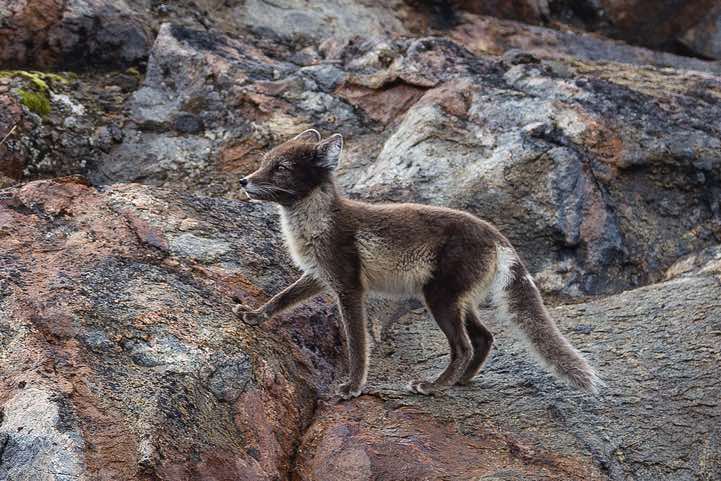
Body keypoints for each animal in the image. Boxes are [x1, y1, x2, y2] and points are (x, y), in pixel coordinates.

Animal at [234, 129, 604, 399]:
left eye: (282, 168)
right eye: (265, 161)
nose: (243, 181)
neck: (315, 223)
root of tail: (497, 235)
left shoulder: (349, 288)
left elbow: (357, 344)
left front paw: (353, 387)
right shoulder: (318, 276)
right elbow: (280, 298)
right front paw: (253, 315)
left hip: (438, 299)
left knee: (464, 347)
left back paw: (433, 386)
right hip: (460, 301)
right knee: (484, 338)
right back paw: (460, 381)